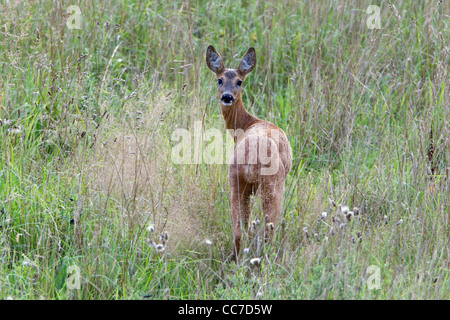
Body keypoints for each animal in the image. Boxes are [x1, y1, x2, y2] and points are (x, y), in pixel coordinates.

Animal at [206, 44, 294, 260]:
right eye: (219, 79)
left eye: (239, 81)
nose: (227, 97)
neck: (248, 124)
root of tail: (251, 158)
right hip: (273, 186)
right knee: (268, 230)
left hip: (235, 181)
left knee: (239, 230)